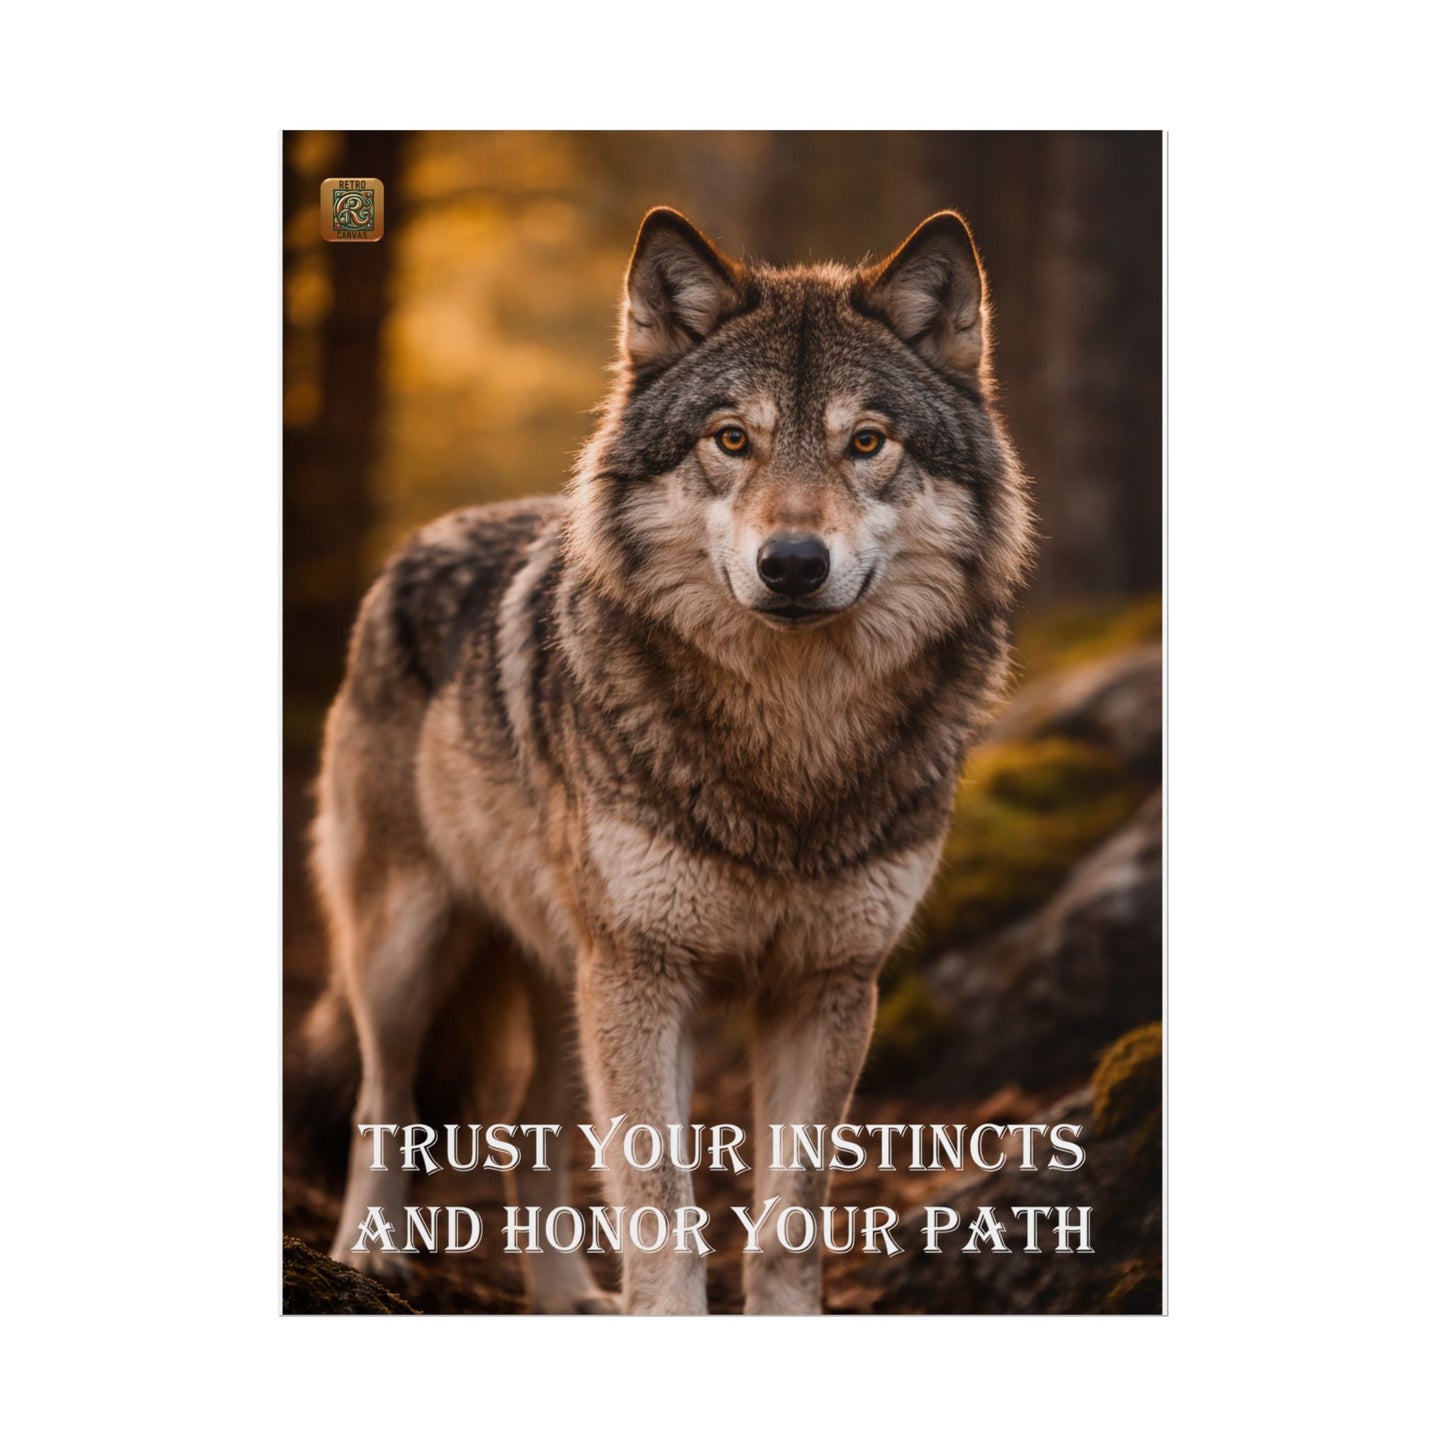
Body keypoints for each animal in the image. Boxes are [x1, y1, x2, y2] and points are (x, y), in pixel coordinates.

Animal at [301, 207, 1033, 1314]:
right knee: (383, 1100)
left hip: (567, 981)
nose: (792, 564)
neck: (790, 743)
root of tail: (417, 544)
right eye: (730, 439)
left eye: (865, 442)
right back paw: (367, 1255)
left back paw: (565, 1293)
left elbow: (784, 1224)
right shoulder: (646, 973)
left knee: (525, 1127)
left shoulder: (827, 985)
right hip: (410, 953)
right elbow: (659, 1203)